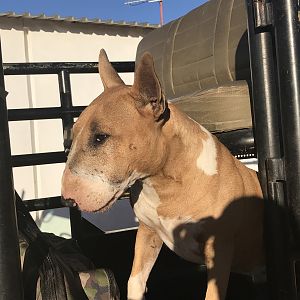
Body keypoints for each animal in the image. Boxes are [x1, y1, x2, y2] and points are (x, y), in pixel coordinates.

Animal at [61, 49, 264, 300]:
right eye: (73, 135)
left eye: (100, 137)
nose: (66, 199)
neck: (164, 185)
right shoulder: (147, 232)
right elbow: (135, 281)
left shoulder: (220, 248)